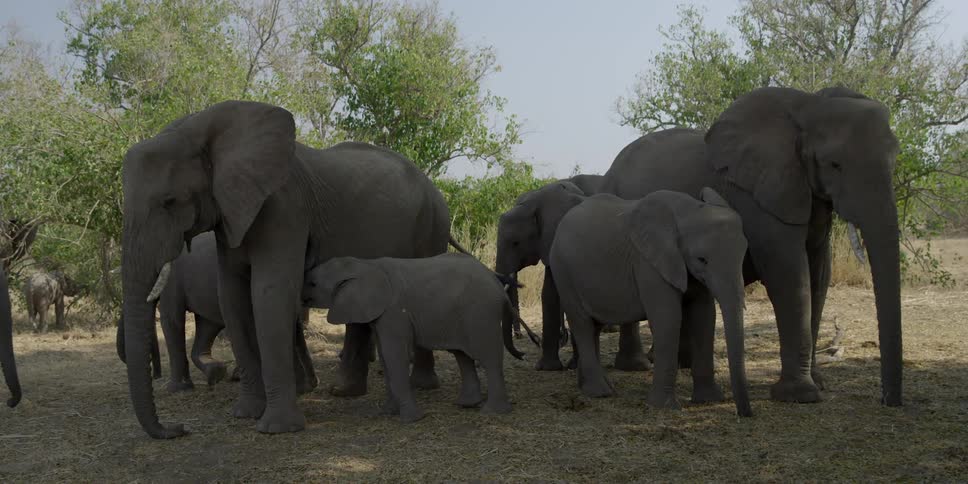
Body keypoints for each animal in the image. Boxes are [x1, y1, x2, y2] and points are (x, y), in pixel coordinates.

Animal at [114, 232, 318, 394]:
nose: (155, 374)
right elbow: (207, 326)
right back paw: (307, 386)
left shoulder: (172, 281)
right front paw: (216, 373)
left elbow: (172, 319)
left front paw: (176, 389)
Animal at [301, 254, 532, 422]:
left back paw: (492, 412)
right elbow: (386, 359)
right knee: (462, 356)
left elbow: (395, 357)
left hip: (481, 312)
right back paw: (466, 405)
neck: (365, 265)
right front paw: (387, 413)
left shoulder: (393, 312)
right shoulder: (381, 315)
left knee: (488, 358)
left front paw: (411, 419)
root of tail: (497, 285)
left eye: (312, 284)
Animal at [496, 179, 651, 372]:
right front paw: (554, 367)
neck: (535, 202)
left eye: (516, 243)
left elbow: (553, 293)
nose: (523, 352)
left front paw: (548, 368)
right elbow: (549, 293)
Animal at [549, 188, 751, 416]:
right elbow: (667, 319)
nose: (745, 414)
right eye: (702, 260)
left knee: (594, 327)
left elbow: (704, 318)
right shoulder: (648, 263)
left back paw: (590, 388)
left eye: (743, 255)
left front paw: (709, 400)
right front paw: (664, 407)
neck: (687, 211)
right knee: (582, 324)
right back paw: (600, 392)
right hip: (562, 271)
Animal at [599, 86, 903, 406]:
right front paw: (800, 395)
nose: (888, 401)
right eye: (834, 164)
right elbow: (789, 275)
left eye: (895, 158)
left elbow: (819, 276)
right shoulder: (758, 197)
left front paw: (818, 385)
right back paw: (637, 366)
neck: (807, 106)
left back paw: (678, 363)